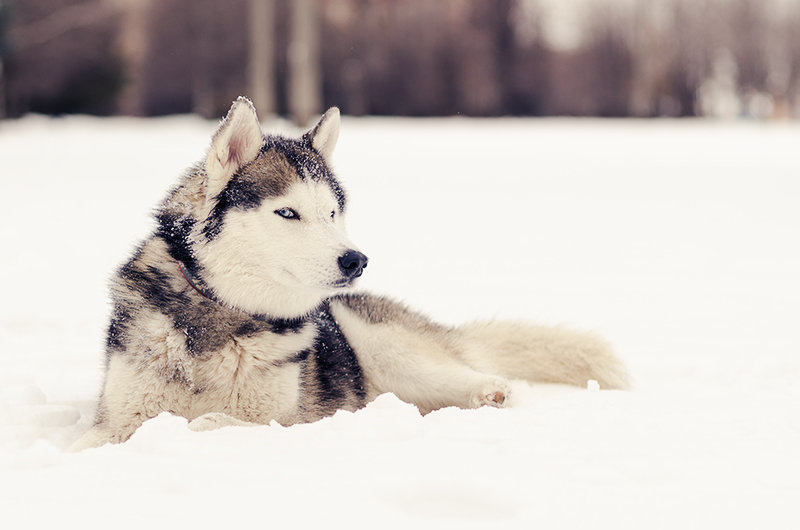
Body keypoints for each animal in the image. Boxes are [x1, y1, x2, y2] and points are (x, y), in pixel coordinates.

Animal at [72, 97, 628, 448]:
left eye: (333, 213)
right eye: (288, 213)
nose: (355, 259)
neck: (225, 316)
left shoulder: (289, 418)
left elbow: (212, 422)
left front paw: (196, 425)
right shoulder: (114, 418)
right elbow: (96, 439)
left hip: (387, 349)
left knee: (485, 379)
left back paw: (490, 394)